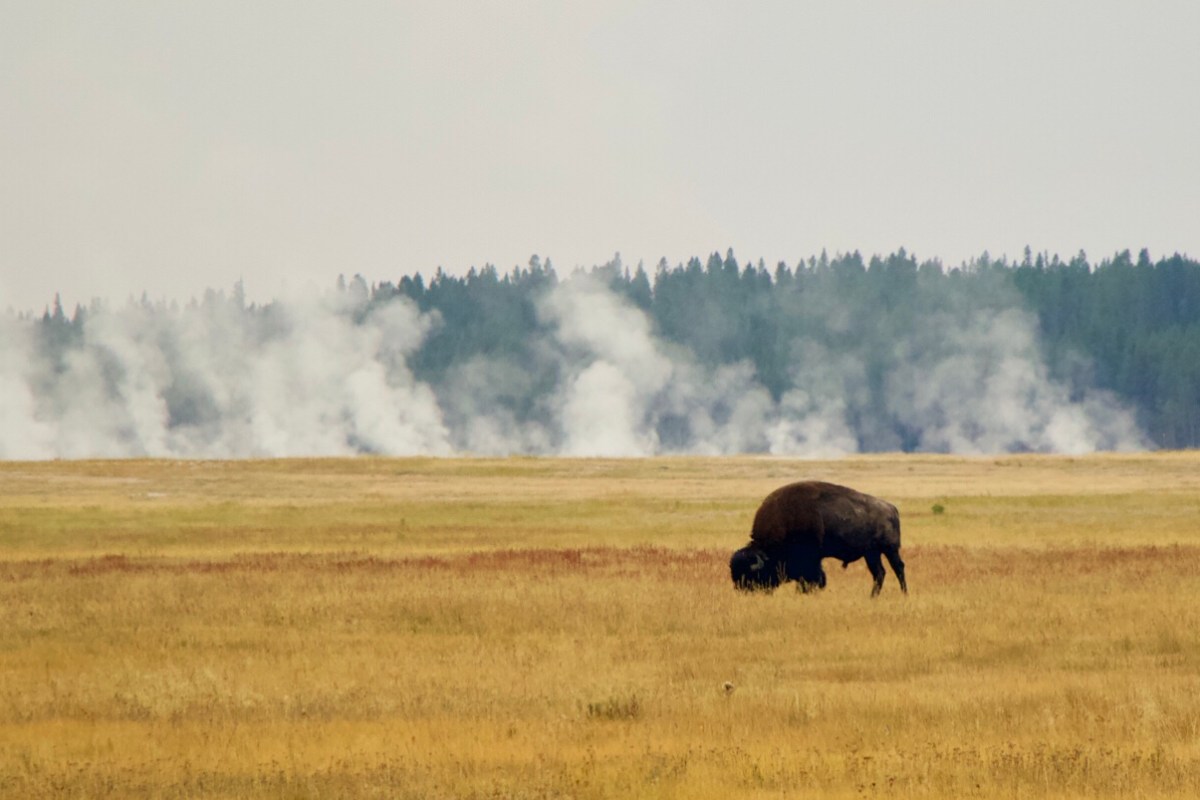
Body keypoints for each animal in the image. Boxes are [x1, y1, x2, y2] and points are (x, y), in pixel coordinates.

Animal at [729, 480, 907, 597]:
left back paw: (904, 593)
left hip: (890, 549)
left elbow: (814, 578)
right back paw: (872, 597)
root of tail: (891, 508)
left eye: (750, 576)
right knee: (879, 573)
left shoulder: (810, 560)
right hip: (871, 553)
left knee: (898, 568)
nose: (742, 592)